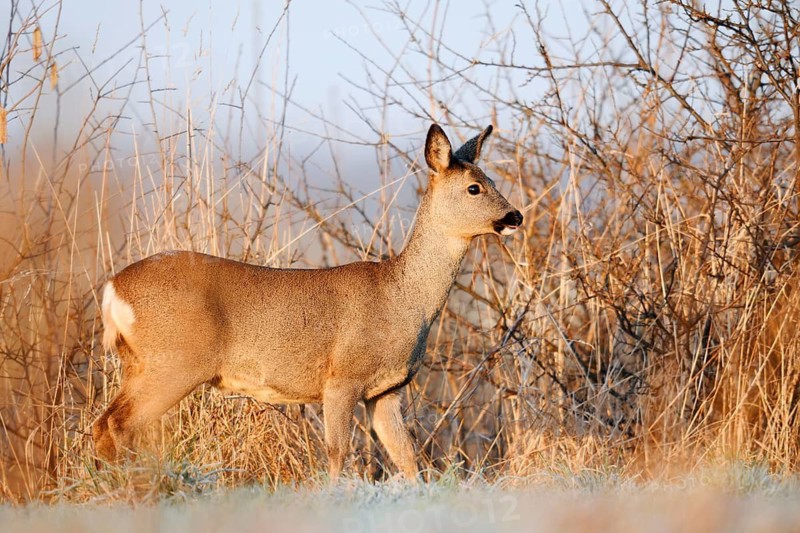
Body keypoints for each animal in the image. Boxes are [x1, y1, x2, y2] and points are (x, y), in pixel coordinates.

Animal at [93, 123, 523, 481]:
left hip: (139, 363)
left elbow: (406, 456)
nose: (515, 216)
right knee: (119, 424)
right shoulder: (343, 376)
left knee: (103, 424)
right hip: (174, 361)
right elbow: (337, 451)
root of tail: (113, 288)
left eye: (491, 179)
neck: (402, 298)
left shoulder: (386, 390)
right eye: (474, 188)